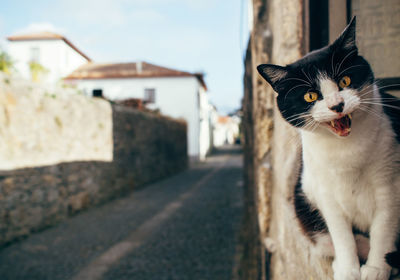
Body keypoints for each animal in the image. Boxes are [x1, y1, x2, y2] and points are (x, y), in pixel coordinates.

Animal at [256, 17, 400, 280]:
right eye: (310, 96)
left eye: (344, 81)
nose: (337, 105)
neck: (346, 151)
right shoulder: (325, 192)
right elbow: (341, 234)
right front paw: (348, 269)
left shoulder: (391, 184)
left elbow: (383, 228)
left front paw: (376, 268)